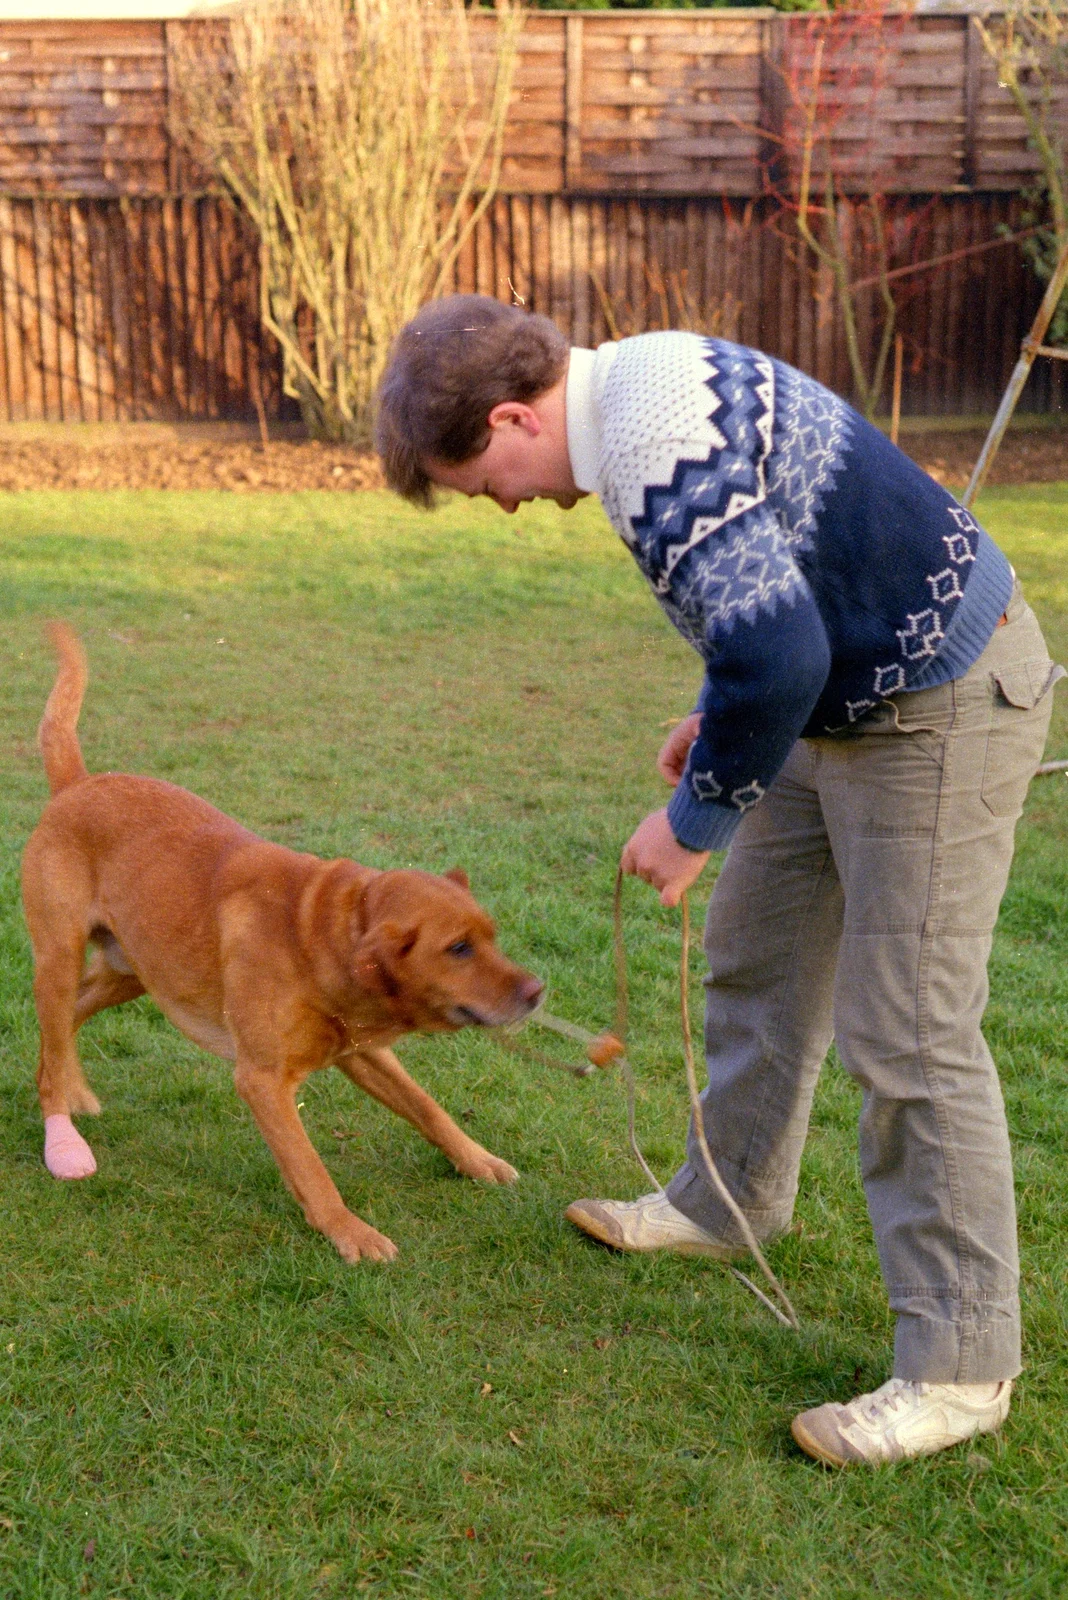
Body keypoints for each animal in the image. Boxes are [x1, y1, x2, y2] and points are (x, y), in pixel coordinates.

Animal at [22, 624, 543, 1260]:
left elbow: (428, 1107)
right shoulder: (264, 1081)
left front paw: (477, 1160)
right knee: (53, 1032)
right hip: (61, 958)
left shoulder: (364, 1050)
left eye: (491, 937)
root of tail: (76, 783)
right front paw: (350, 1233)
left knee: (63, 1027)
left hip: (134, 973)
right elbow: (312, 1170)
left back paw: (73, 1087)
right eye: (459, 949)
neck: (319, 934)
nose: (538, 992)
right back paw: (62, 1135)